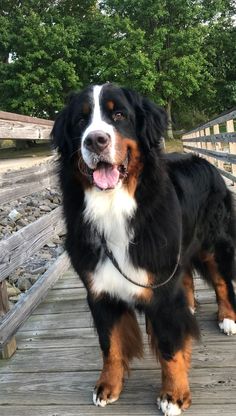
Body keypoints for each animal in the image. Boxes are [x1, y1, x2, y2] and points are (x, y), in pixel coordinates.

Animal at [51, 83, 236, 414]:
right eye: (80, 121)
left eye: (119, 115)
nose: (95, 140)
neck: (114, 207)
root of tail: (206, 161)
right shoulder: (100, 290)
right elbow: (110, 345)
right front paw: (108, 386)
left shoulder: (162, 290)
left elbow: (170, 347)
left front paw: (173, 395)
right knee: (185, 277)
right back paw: (190, 305)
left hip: (215, 242)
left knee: (222, 281)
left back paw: (228, 319)